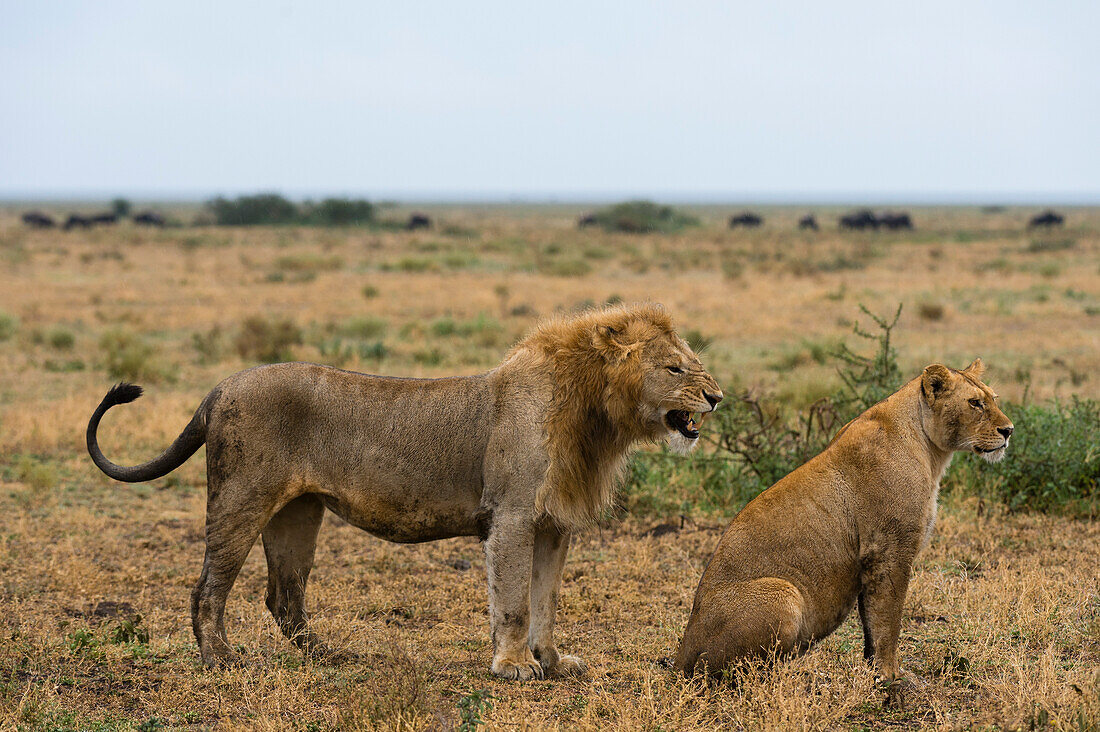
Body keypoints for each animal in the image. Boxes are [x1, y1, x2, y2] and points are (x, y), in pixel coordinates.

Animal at [88, 303, 721, 678]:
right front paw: (513, 666)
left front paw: (553, 661)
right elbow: (514, 601)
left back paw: (330, 656)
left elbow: (546, 600)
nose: (716, 398)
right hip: (241, 498)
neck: (594, 414)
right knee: (207, 589)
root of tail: (220, 387)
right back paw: (221, 660)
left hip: (297, 512)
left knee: (284, 595)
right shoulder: (512, 516)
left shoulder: (553, 524)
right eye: (675, 369)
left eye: (693, 363)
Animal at [677, 358, 1012, 708]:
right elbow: (889, 620)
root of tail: (681, 655)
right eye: (975, 403)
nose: (1009, 431)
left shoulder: (871, 561)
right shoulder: (891, 551)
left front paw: (874, 674)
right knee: (734, 675)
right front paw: (892, 679)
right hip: (783, 593)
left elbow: (871, 625)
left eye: (993, 398)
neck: (930, 450)